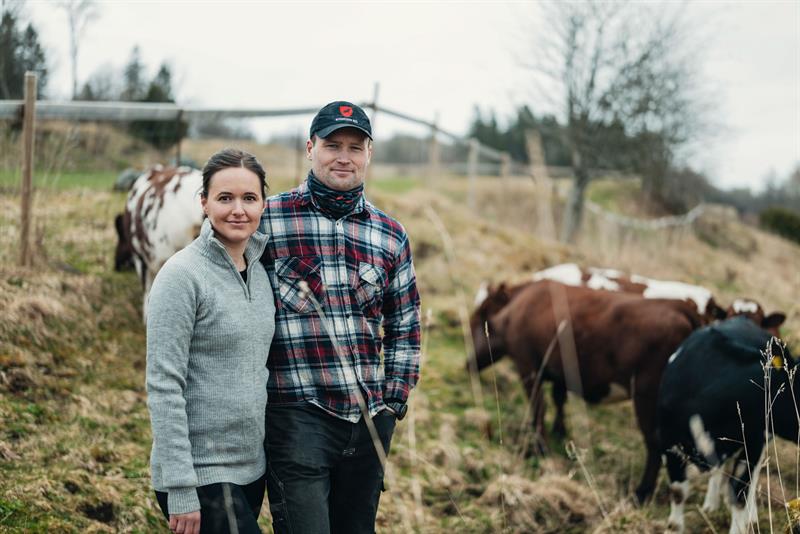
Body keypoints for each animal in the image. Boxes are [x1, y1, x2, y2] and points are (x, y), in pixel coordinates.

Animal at [468, 279, 703, 503]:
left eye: (479, 320)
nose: (468, 363)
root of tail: (679, 305)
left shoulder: (529, 369)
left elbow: (539, 409)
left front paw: (542, 448)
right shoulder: (560, 371)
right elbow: (559, 400)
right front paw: (559, 432)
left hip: (647, 396)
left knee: (655, 444)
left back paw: (641, 493)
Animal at [658, 314, 790, 534]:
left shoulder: (754, 442)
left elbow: (740, 493)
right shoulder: (668, 441)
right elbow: (678, 492)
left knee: (751, 479)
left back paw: (750, 515)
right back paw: (711, 504)